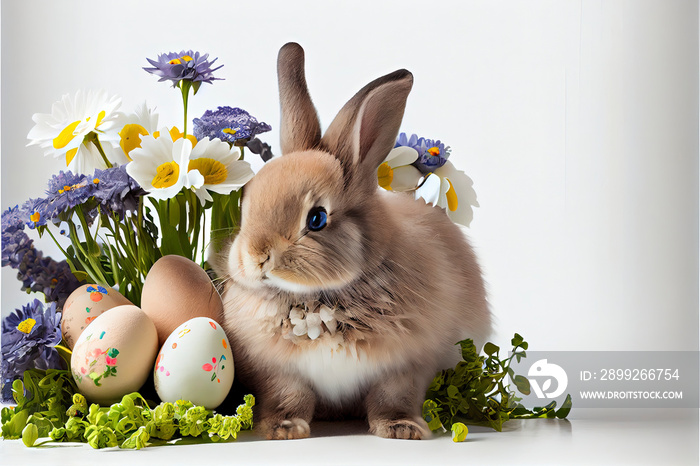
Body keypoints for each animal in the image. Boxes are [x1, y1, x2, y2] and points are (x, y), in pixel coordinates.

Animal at [216, 42, 490, 440]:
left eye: (317, 218)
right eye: (246, 202)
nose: (256, 258)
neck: (320, 298)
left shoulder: (406, 366)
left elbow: (393, 398)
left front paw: (403, 429)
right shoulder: (278, 373)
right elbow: (289, 396)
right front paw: (283, 429)